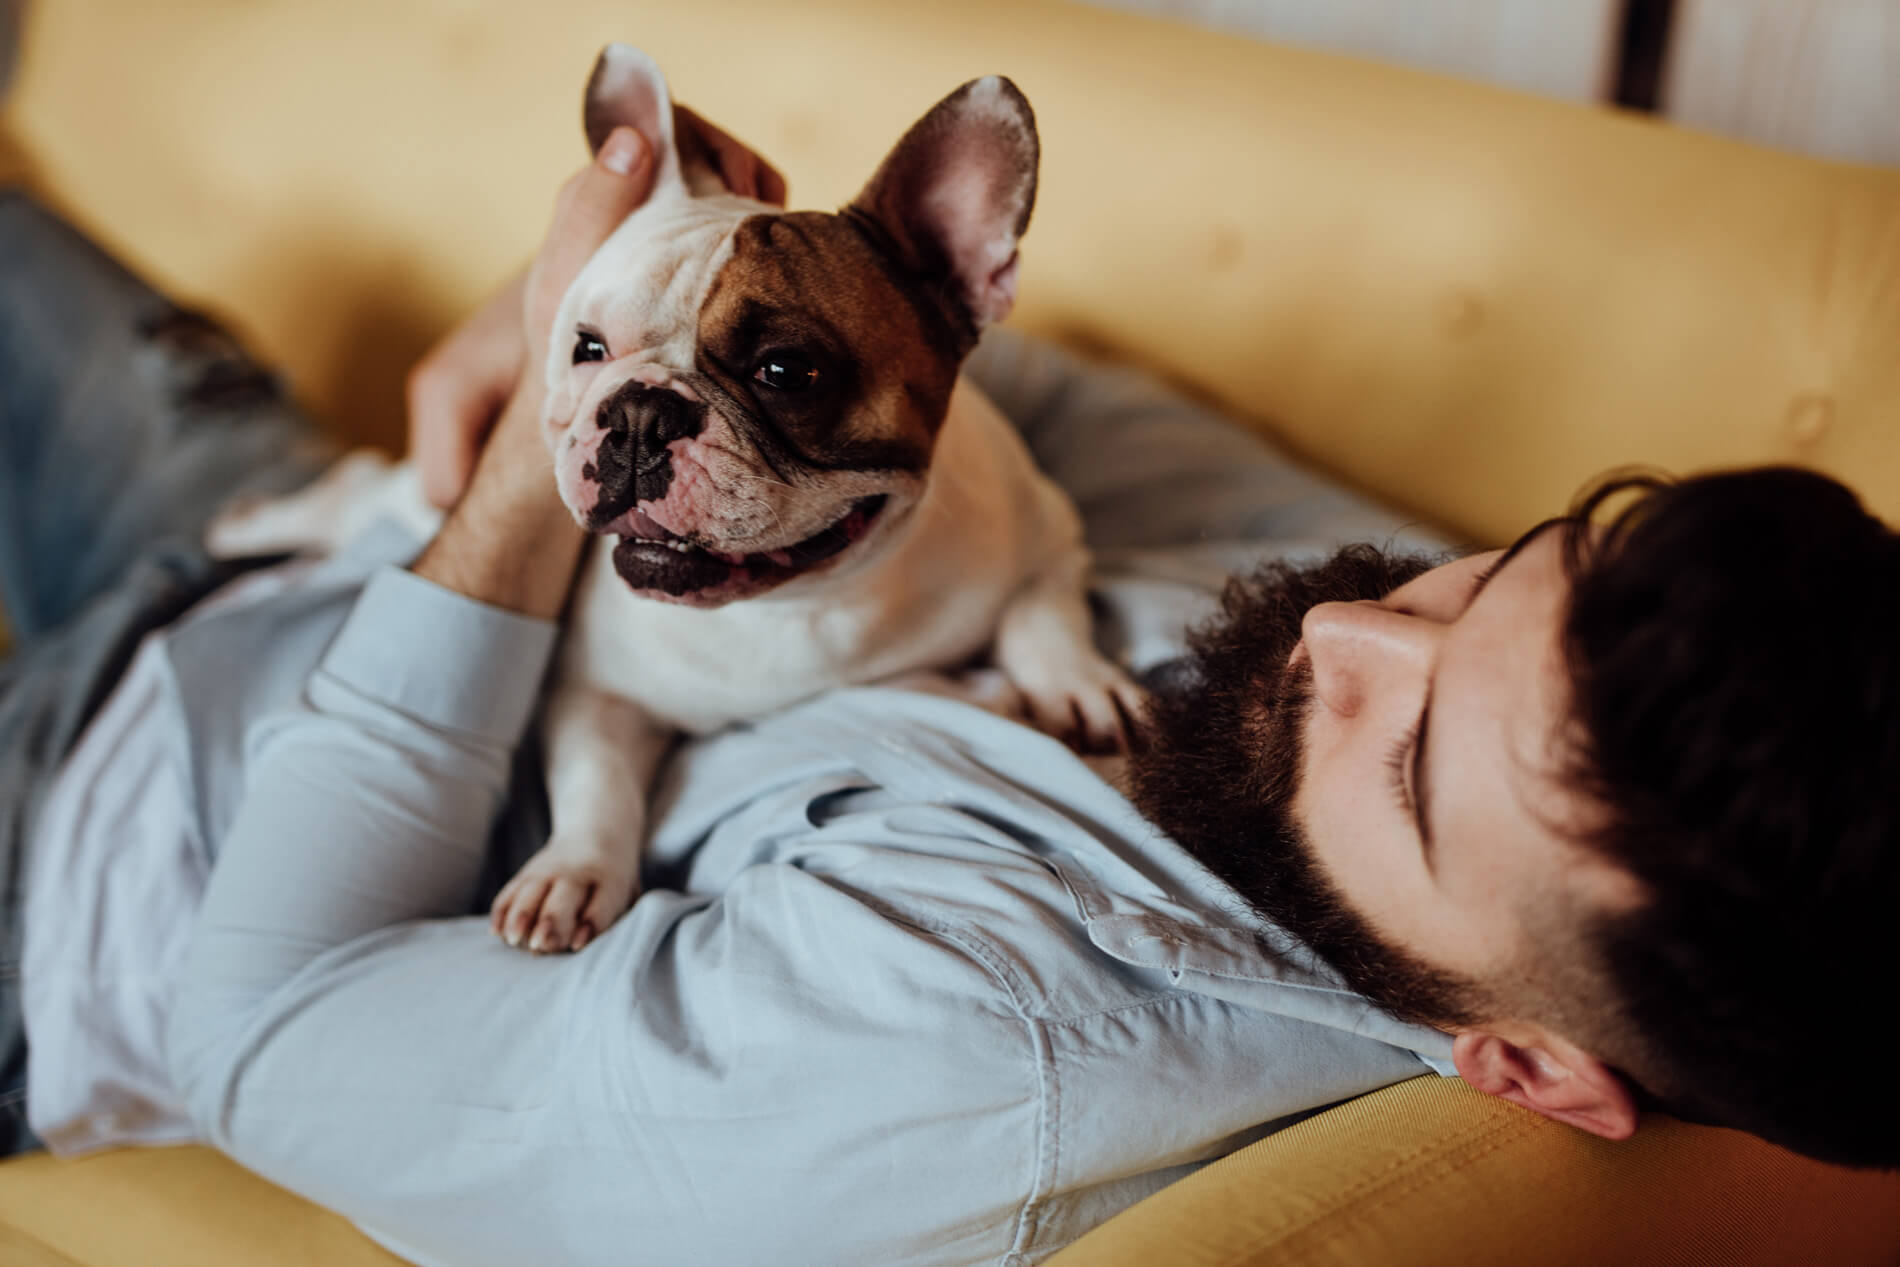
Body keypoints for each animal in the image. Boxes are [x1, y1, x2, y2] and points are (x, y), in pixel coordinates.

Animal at [218, 49, 1140, 957]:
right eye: (588, 347)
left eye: (787, 370)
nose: (637, 414)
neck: (795, 608)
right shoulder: (596, 689)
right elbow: (597, 779)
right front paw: (571, 871)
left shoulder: (1046, 530)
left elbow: (1045, 611)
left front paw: (1077, 686)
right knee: (353, 490)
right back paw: (251, 522)